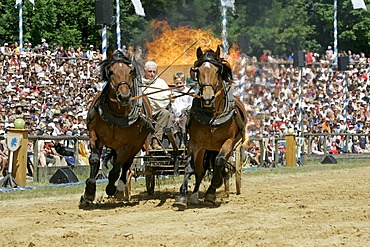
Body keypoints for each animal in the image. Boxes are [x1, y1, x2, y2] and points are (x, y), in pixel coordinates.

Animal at [79, 50, 153, 206]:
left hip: (136, 145)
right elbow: (94, 160)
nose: (124, 96)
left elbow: (117, 168)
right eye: (111, 72)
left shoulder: (126, 145)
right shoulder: (94, 136)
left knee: (125, 166)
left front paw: (111, 188)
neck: (116, 113)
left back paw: (120, 188)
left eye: (130, 71)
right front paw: (89, 192)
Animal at [172, 45, 247, 209]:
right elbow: (190, 166)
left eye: (217, 71)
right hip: (205, 148)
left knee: (219, 163)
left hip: (226, 147)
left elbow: (219, 162)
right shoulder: (195, 143)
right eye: (197, 71)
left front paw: (213, 190)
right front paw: (182, 196)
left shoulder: (229, 142)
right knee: (200, 170)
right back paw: (194, 195)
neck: (213, 115)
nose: (207, 98)